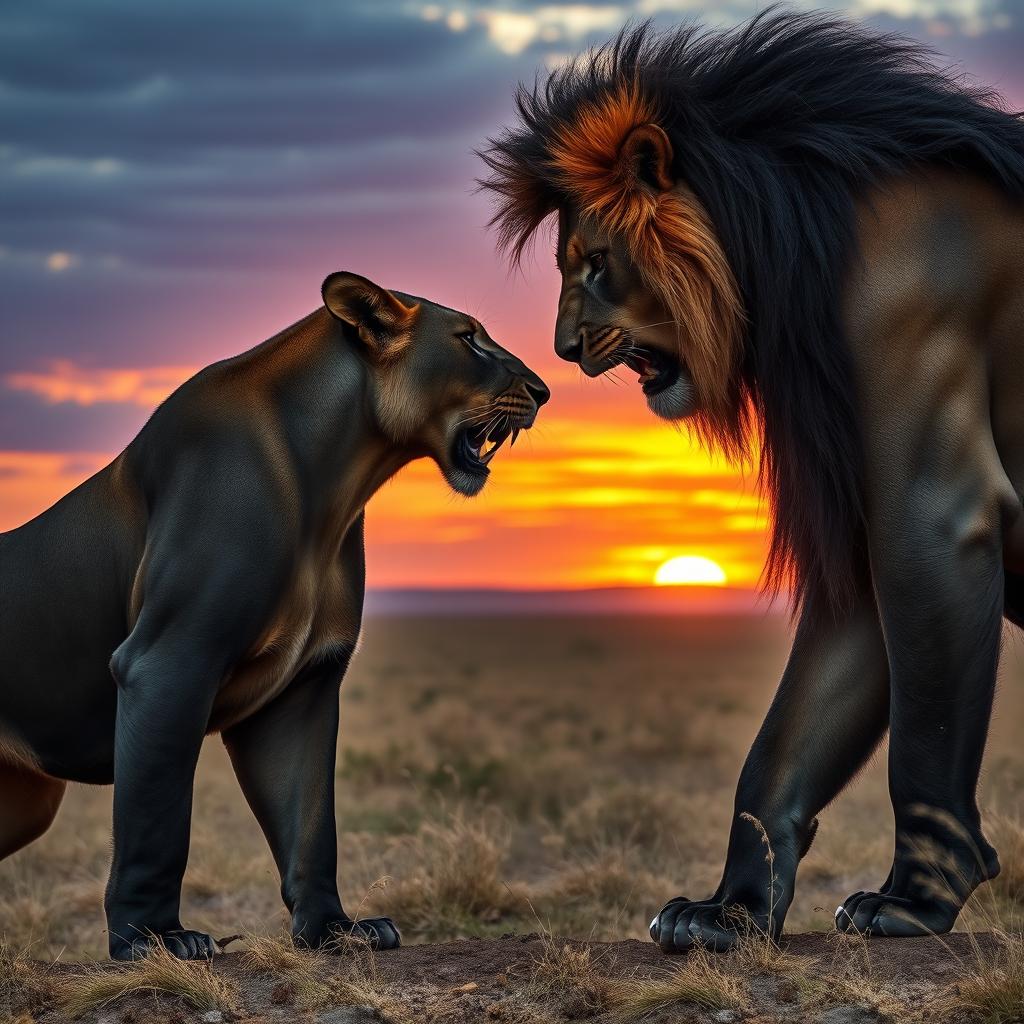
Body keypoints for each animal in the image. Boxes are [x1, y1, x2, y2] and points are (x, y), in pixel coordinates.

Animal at [0, 272, 548, 959]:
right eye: (470, 338)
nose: (544, 391)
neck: (332, 482)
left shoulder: (303, 685)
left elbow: (310, 822)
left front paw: (334, 930)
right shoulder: (169, 661)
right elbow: (156, 817)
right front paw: (154, 939)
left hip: (24, 803)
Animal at [480, 10, 1024, 949]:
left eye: (596, 263)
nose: (560, 347)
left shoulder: (930, 500)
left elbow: (924, 724)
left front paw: (916, 899)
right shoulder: (860, 533)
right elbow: (789, 738)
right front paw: (730, 909)